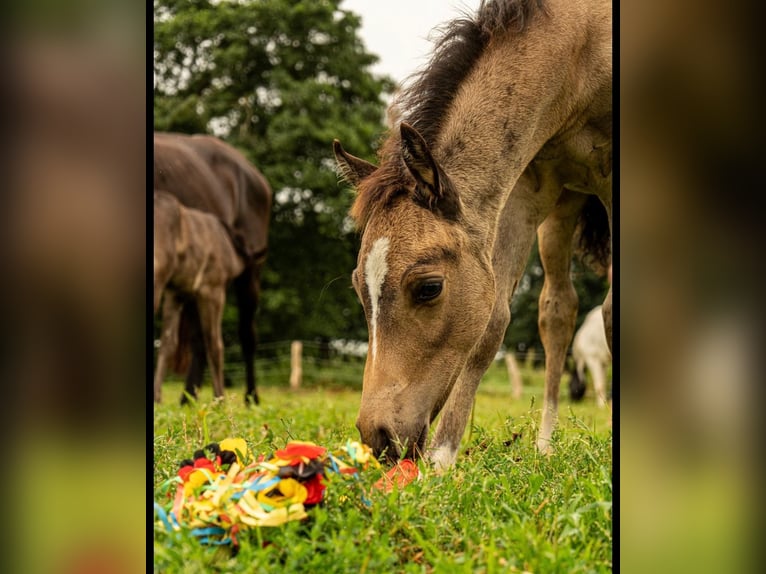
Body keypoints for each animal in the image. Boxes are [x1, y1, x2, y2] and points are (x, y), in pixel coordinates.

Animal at [153, 191, 245, 403]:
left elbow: (168, 344)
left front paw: (157, 397)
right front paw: (219, 400)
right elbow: (215, 345)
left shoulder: (175, 292)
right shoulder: (212, 290)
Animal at [333, 0, 611, 466]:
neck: (584, 46)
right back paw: (544, 444)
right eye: (357, 288)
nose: (379, 437)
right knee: (557, 311)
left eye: (428, 287)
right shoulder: (528, 184)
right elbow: (493, 319)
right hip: (563, 211)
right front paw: (444, 455)